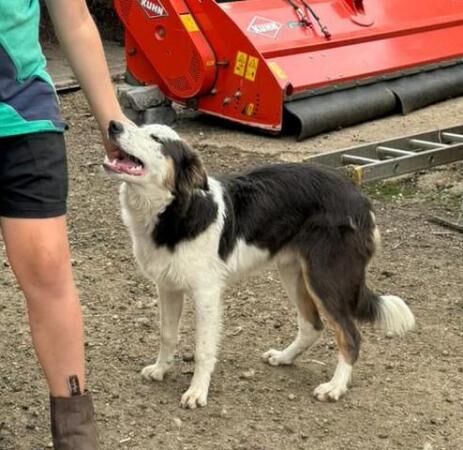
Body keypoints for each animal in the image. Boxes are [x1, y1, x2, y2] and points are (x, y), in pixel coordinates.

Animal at [103, 121, 416, 410]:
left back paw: (335, 387)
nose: (113, 125)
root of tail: (361, 201)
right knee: (311, 325)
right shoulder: (167, 287)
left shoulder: (206, 293)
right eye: (138, 126)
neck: (175, 210)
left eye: (156, 138)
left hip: (324, 279)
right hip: (293, 272)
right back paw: (284, 357)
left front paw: (197, 391)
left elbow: (203, 349)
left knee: (350, 335)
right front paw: (160, 369)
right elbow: (167, 334)